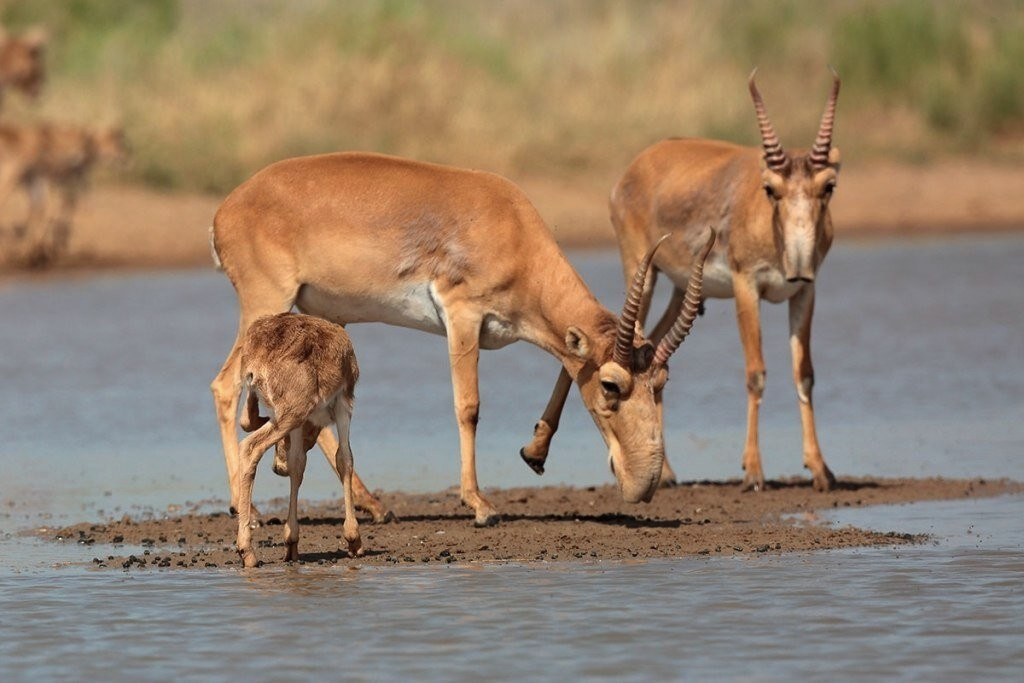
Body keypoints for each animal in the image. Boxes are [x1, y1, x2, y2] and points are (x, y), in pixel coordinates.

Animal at [209, 152, 712, 528]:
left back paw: (374, 505)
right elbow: (468, 407)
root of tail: (226, 211)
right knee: (225, 385)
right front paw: (481, 505)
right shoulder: (463, 316)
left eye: (661, 382)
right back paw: (248, 508)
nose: (644, 484)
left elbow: (565, 366)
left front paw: (533, 454)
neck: (507, 223)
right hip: (266, 301)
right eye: (611, 385)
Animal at [235, 313, 364, 569]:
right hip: (292, 413)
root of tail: (258, 361)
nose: (278, 468)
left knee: (246, 422)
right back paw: (247, 552)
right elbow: (344, 459)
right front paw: (354, 540)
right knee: (249, 447)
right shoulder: (344, 403)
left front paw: (291, 543)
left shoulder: (298, 428)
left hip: (280, 412)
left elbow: (298, 465)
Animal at [520, 69, 839, 493]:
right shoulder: (746, 287)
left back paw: (665, 472)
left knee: (651, 347)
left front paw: (821, 470)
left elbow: (804, 374)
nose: (799, 264)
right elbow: (755, 372)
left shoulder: (806, 290)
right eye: (771, 188)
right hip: (643, 275)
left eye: (828, 186)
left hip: (679, 291)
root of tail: (636, 166)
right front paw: (754, 473)